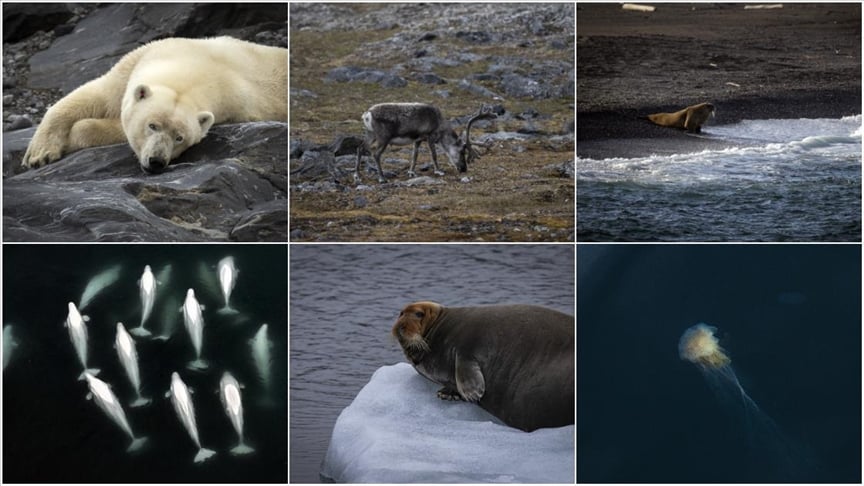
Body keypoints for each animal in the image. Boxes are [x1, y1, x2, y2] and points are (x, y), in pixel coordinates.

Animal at [22, 36, 286, 174]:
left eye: (180, 138)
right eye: (152, 126)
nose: (157, 162)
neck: (194, 67)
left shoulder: (230, 108)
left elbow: (115, 126)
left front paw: (75, 135)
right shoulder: (136, 61)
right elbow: (94, 95)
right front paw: (39, 155)